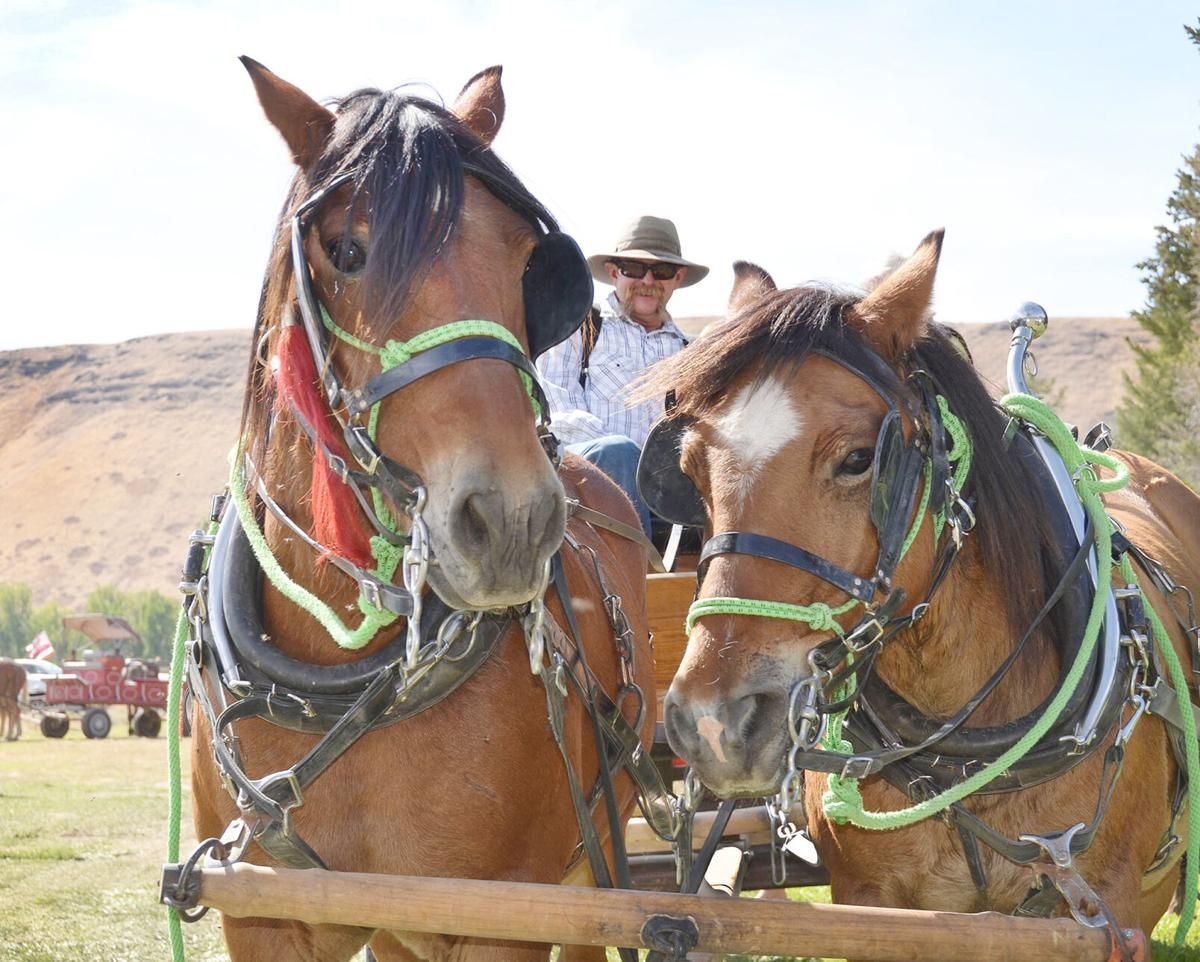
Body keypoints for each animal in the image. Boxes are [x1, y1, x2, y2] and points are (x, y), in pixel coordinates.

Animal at [185, 60, 655, 962]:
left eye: (527, 264)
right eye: (346, 250)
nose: (512, 521)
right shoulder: (261, 912)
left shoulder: (503, 915)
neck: (337, 688)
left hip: (598, 852)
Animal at [639, 233, 1200, 948]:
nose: (715, 722)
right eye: (690, 472)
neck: (963, 758)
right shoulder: (873, 903)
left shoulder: (1111, 910)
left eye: (859, 459)